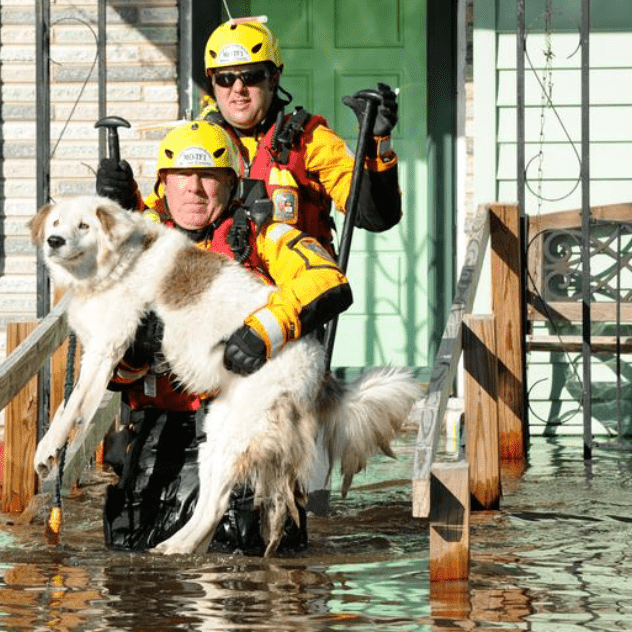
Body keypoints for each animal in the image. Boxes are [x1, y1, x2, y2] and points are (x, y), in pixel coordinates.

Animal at [30, 195, 424, 556]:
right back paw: (179, 545)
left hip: (235, 433)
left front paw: (48, 452)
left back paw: (175, 548)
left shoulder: (105, 350)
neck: (116, 264)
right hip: (216, 435)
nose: (54, 241)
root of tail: (318, 365)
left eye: (84, 226)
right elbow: (69, 407)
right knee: (210, 505)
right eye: (56, 223)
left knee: (216, 506)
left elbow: (70, 410)